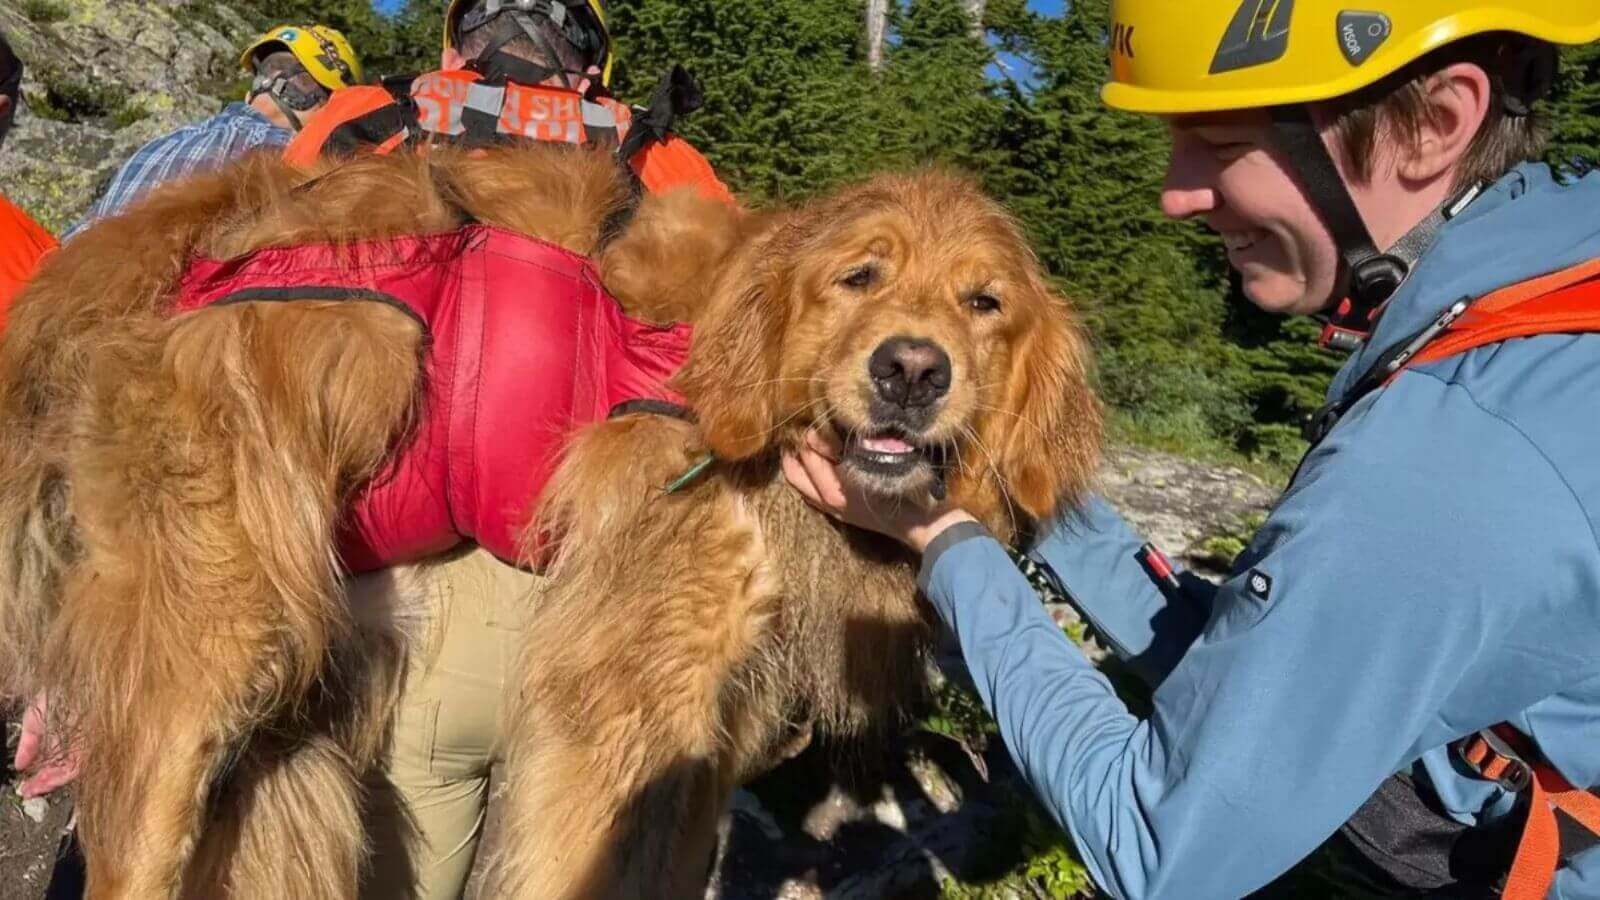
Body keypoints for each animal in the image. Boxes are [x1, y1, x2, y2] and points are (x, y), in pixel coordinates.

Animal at [0, 143, 1100, 890]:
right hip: (207, 661)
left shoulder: (713, 737)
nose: (911, 370)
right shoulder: (619, 698)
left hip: (293, 716)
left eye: (984, 303)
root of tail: (196, 221)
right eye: (859, 276)